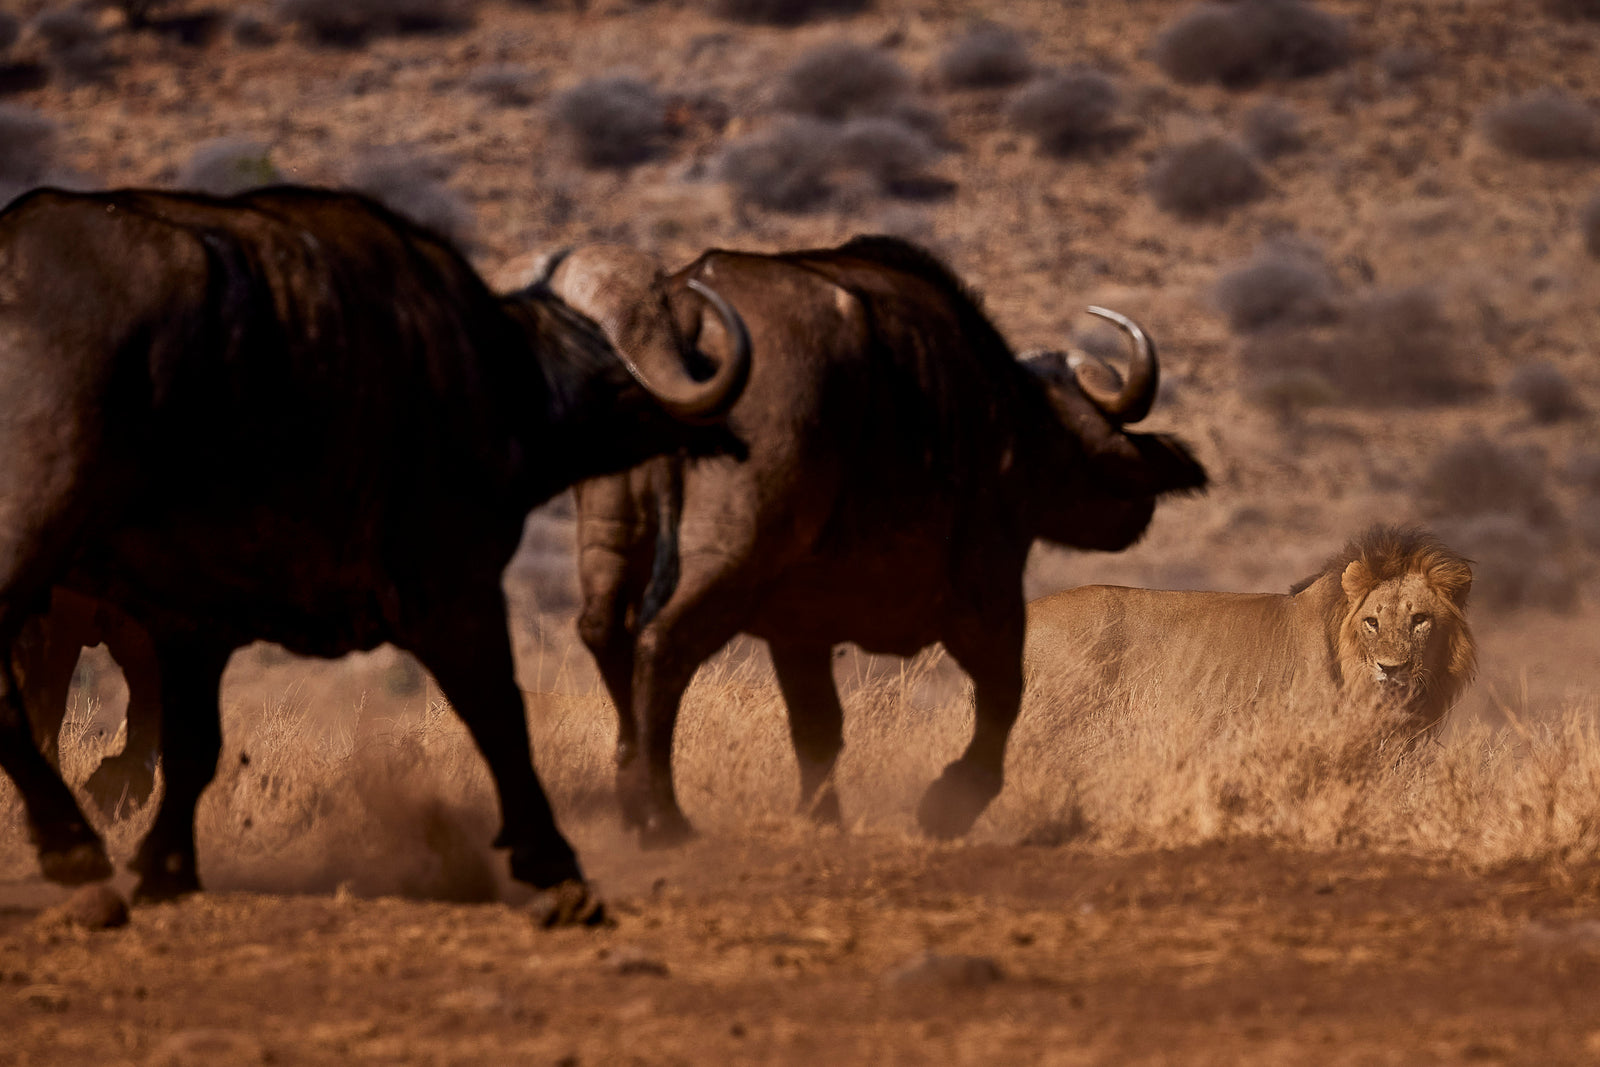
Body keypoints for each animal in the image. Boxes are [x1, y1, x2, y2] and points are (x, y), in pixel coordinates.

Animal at [0, 186, 749, 922]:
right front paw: (553, 864)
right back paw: (69, 844)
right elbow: (500, 717)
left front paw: (166, 865)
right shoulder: (453, 586)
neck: (489, 371)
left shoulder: (190, 619)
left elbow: (193, 742)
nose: (726, 427)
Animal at [538, 236, 1207, 846]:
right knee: (662, 643)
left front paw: (823, 817)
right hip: (728, 550)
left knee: (605, 633)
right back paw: (663, 816)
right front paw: (949, 804)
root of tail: (680, 314)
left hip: (611, 530)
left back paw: (632, 799)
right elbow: (1003, 695)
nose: (1138, 509)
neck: (1004, 414)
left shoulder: (798, 627)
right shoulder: (985, 592)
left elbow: (817, 724)